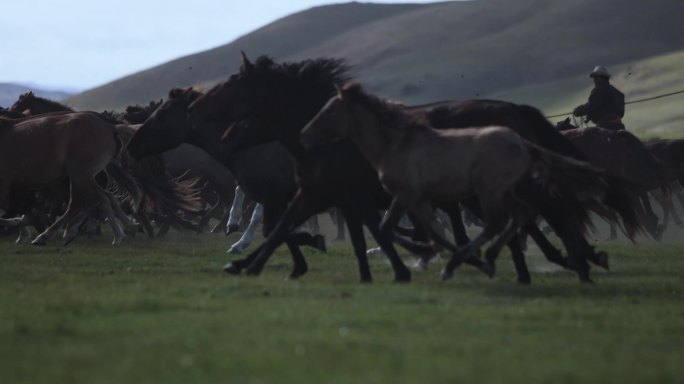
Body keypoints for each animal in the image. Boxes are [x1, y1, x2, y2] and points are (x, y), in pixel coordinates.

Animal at [0, 112, 136, 244]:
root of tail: (110, 127)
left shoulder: (6, 184)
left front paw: (18, 224)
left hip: (80, 175)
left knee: (96, 201)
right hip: (81, 178)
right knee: (98, 199)